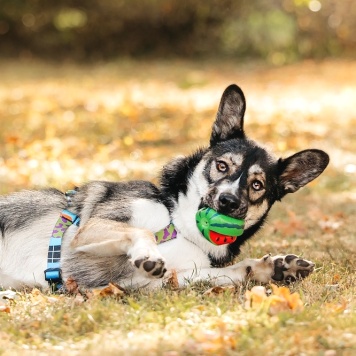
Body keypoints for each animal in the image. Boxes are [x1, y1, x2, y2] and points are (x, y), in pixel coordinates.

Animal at [0, 85, 328, 290]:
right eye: (223, 166)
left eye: (257, 185)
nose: (228, 201)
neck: (180, 226)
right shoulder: (89, 229)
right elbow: (141, 232)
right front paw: (148, 252)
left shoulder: (163, 281)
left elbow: (230, 273)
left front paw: (275, 268)